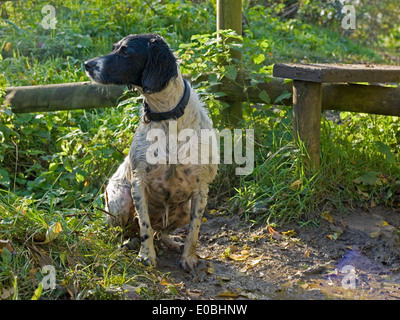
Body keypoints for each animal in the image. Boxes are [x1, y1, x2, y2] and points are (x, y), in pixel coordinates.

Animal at [83, 34, 219, 270]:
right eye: (114, 48)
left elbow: (194, 230)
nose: (87, 64)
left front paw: (189, 257)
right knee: (127, 231)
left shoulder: (201, 187)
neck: (167, 117)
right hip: (120, 201)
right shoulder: (139, 181)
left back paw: (172, 243)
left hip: (183, 209)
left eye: (126, 51)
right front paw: (147, 255)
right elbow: (144, 225)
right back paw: (128, 242)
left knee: (161, 232)